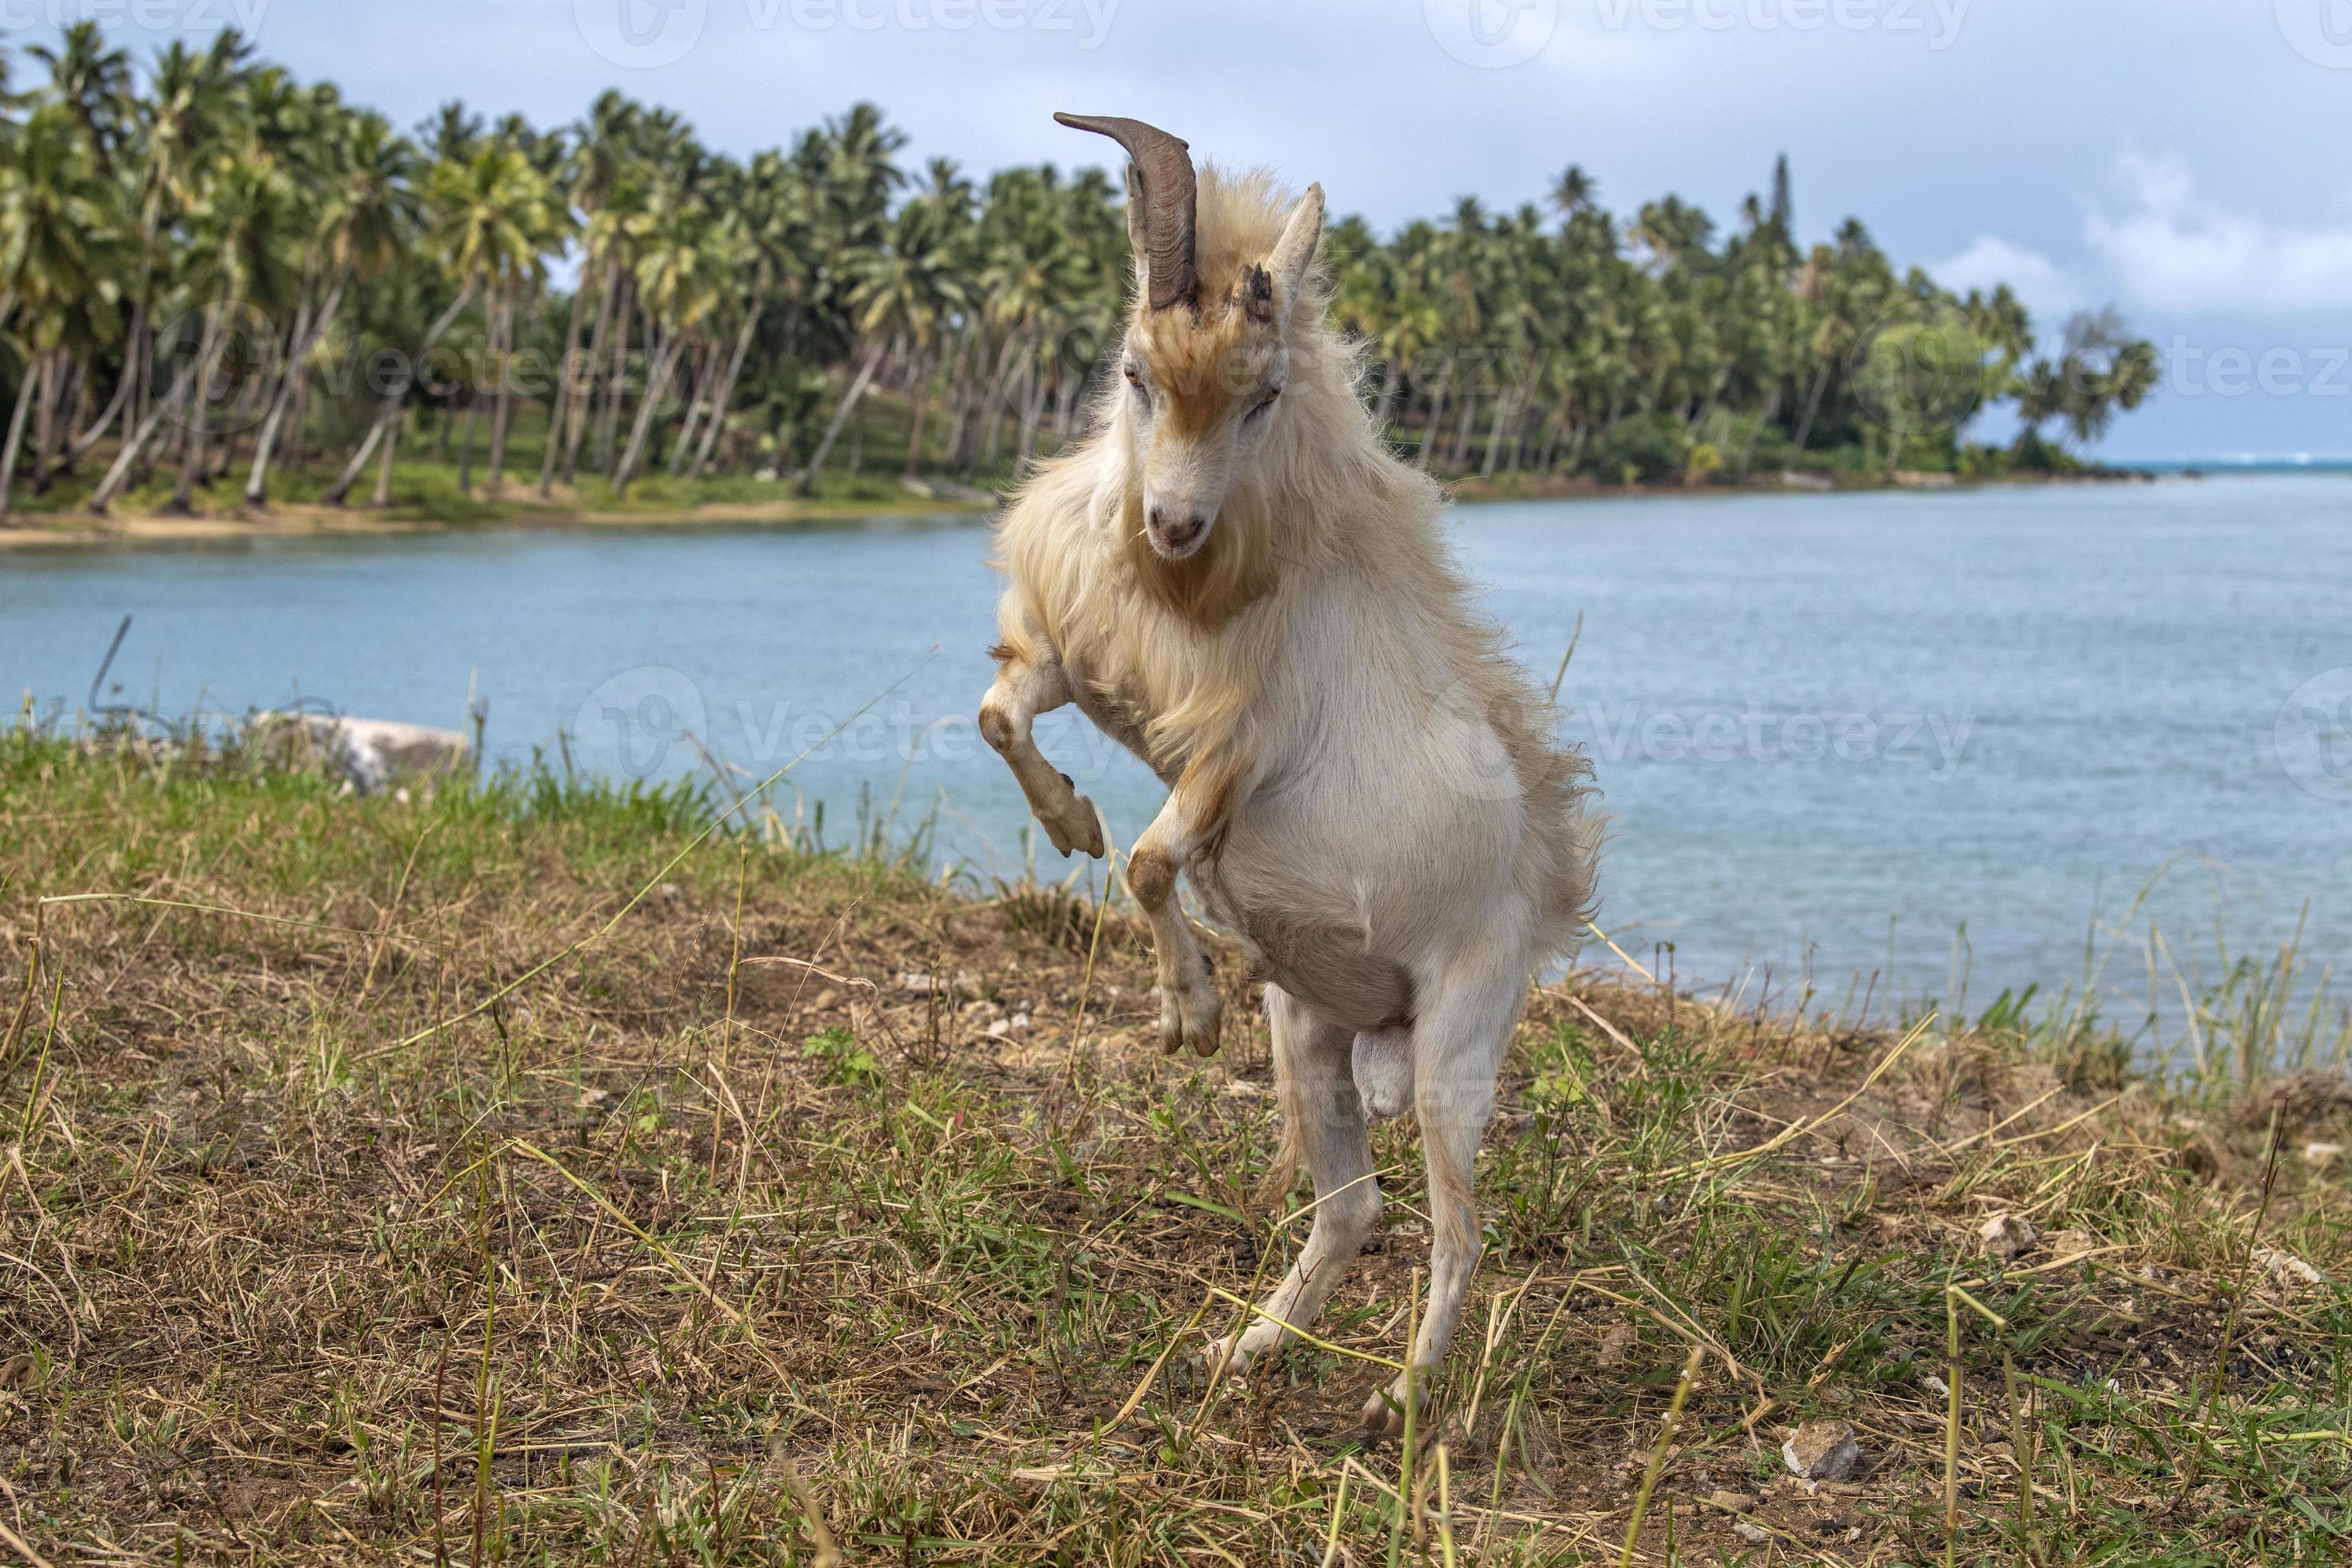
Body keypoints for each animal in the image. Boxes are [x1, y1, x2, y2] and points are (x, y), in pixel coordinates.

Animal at [979, 113, 1601, 1433]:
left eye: (1263, 395)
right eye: (1135, 373)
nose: (1172, 527)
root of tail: (1546, 893)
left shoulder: (1235, 753)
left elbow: (1154, 862)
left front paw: (1186, 1015)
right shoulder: (1074, 662)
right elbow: (1002, 718)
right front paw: (1070, 826)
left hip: (1459, 1040)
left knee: (1459, 1231)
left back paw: (1399, 1401)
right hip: (1312, 1029)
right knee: (1354, 1207)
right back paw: (1243, 1351)